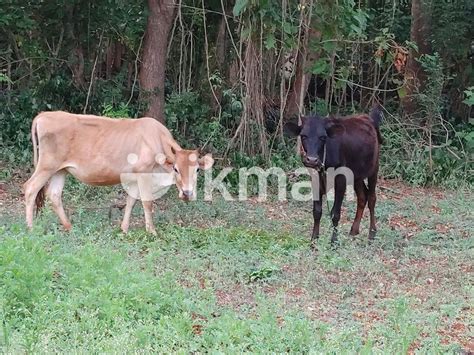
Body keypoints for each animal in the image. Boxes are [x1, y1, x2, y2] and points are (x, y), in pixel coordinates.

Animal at [24, 111, 213, 234]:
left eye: (197, 169)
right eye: (176, 169)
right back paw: (31, 228)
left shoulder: (134, 177)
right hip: (46, 165)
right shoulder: (144, 173)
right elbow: (147, 202)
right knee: (30, 189)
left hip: (60, 170)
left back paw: (69, 227)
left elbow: (131, 201)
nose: (187, 193)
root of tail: (44, 115)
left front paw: (124, 228)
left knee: (54, 194)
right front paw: (151, 231)